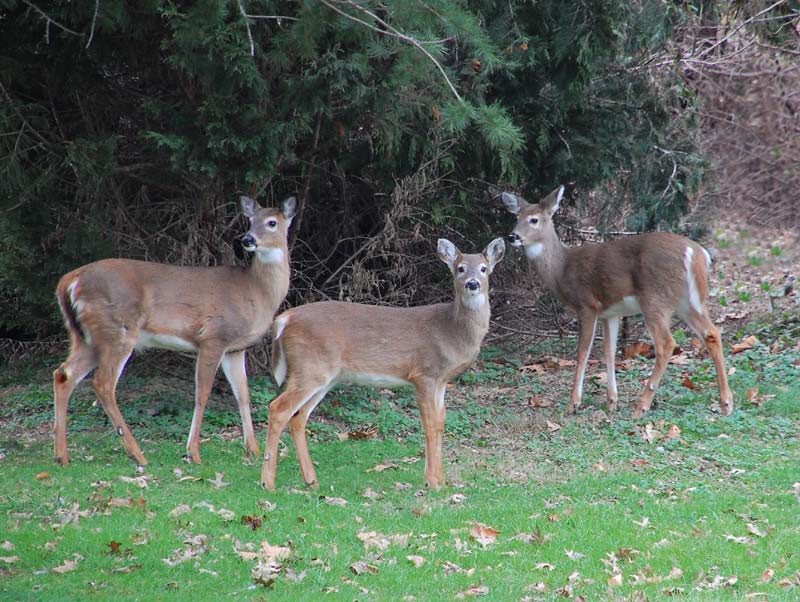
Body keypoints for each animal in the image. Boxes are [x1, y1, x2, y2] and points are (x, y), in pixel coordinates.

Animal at [53, 195, 296, 466]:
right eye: (251, 220)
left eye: (272, 222)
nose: (247, 239)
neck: (257, 292)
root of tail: (70, 281)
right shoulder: (213, 336)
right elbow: (202, 393)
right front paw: (193, 452)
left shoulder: (235, 348)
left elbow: (243, 394)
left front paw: (252, 450)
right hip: (117, 330)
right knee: (103, 383)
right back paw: (137, 454)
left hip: (86, 337)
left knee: (63, 374)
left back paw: (61, 455)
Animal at [260, 234, 504, 488]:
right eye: (460, 268)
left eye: (484, 268)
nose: (472, 284)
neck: (451, 330)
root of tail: (284, 319)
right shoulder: (424, 374)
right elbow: (429, 424)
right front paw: (432, 482)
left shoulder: (441, 380)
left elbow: (440, 423)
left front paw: (441, 481)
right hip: (310, 367)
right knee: (278, 408)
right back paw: (268, 483)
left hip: (324, 376)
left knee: (298, 417)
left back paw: (311, 480)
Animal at [504, 186, 736, 418]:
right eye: (516, 217)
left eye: (534, 219)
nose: (512, 236)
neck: (561, 269)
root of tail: (695, 253)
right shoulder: (611, 312)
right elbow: (609, 351)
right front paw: (611, 402)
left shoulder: (587, 305)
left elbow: (583, 352)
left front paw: (574, 403)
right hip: (688, 301)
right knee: (712, 333)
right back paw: (726, 403)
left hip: (655, 298)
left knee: (666, 343)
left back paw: (641, 407)